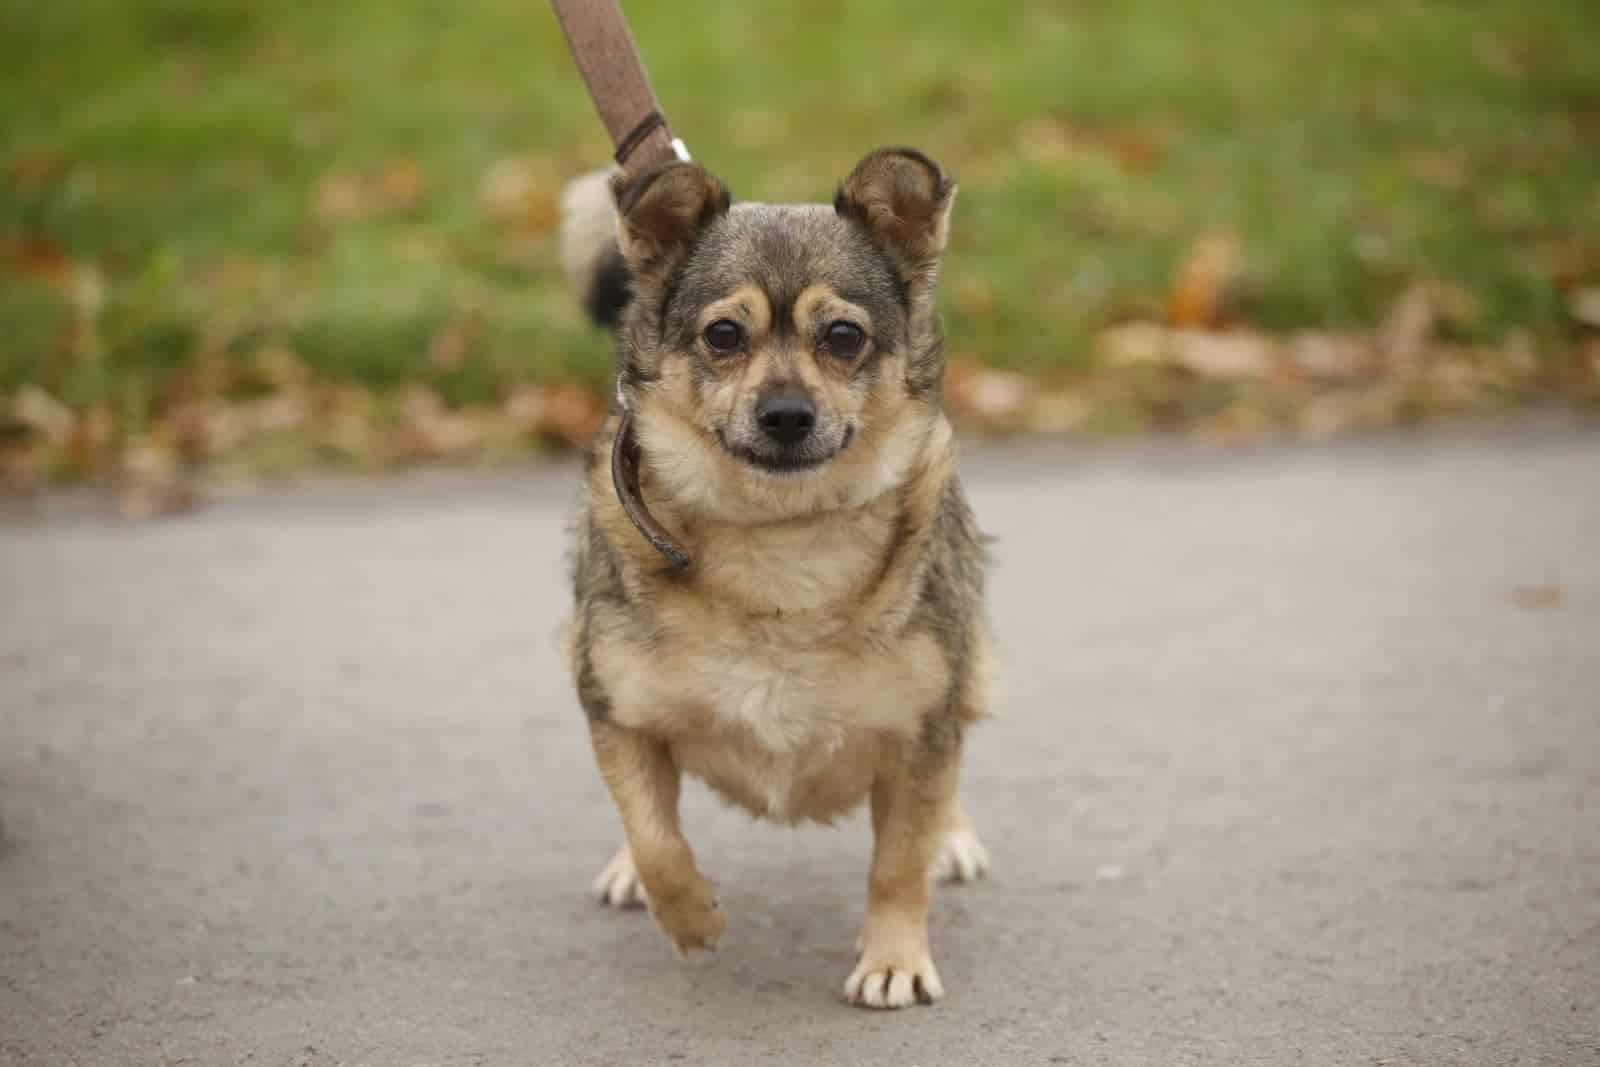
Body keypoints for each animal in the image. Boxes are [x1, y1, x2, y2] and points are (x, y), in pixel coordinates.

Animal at [559, 147, 993, 1009]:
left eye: (844, 336)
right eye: (724, 334)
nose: (787, 414)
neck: (781, 535)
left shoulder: (921, 727)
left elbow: (898, 863)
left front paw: (894, 957)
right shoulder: (614, 707)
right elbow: (654, 832)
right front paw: (689, 915)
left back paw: (953, 839)